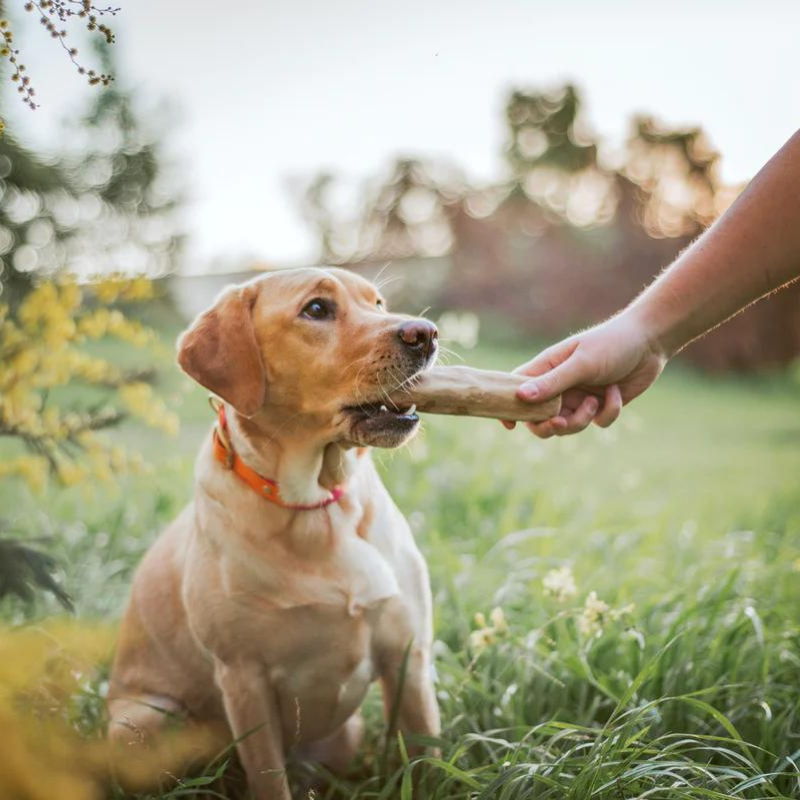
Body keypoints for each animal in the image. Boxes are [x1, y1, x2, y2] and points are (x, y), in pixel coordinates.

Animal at [106, 268, 440, 800]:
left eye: (378, 302)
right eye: (317, 309)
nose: (425, 334)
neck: (316, 504)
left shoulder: (408, 657)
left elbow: (429, 759)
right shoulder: (245, 680)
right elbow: (268, 779)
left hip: (347, 734)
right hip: (141, 723)